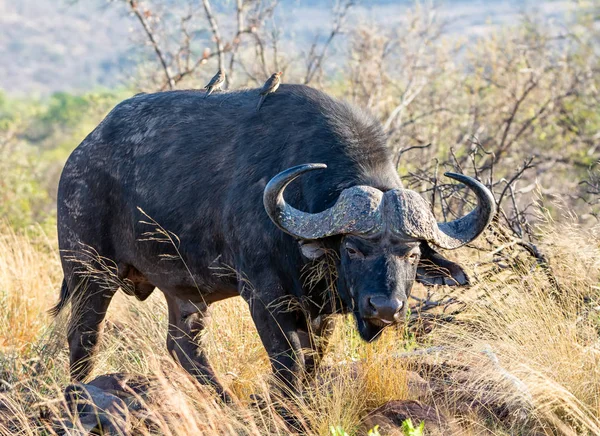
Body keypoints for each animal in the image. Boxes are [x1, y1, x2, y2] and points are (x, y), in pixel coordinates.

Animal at [50, 84, 492, 398]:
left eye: (413, 254)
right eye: (352, 248)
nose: (385, 307)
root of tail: (80, 156)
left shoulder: (321, 312)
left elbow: (312, 365)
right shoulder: (265, 299)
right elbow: (289, 365)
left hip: (185, 292)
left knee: (182, 346)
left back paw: (223, 401)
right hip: (91, 273)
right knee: (83, 338)